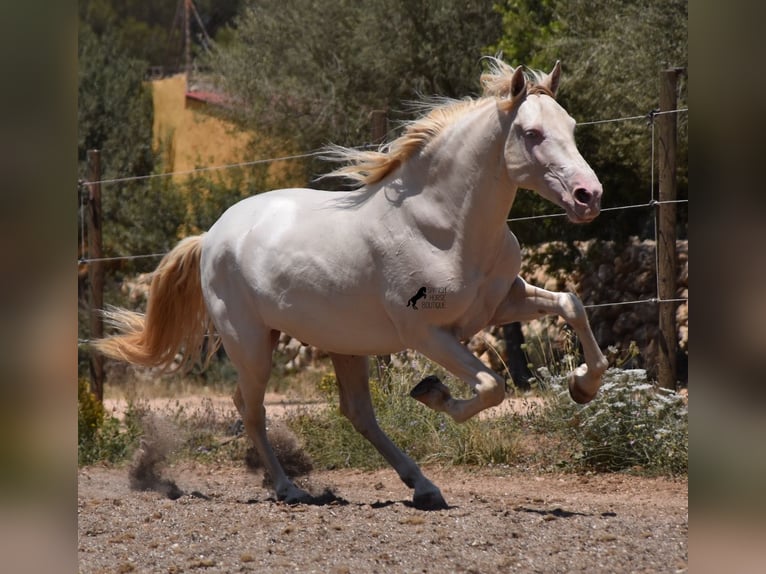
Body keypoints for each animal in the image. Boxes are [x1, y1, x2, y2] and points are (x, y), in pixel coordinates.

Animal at [95, 58, 607, 510]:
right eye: (531, 133)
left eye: (571, 126)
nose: (589, 196)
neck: (444, 228)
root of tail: (212, 235)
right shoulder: (427, 334)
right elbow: (490, 386)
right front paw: (433, 393)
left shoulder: (502, 304)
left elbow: (571, 304)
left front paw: (582, 386)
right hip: (251, 343)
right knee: (251, 408)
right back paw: (289, 489)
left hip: (344, 345)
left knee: (356, 413)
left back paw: (423, 487)